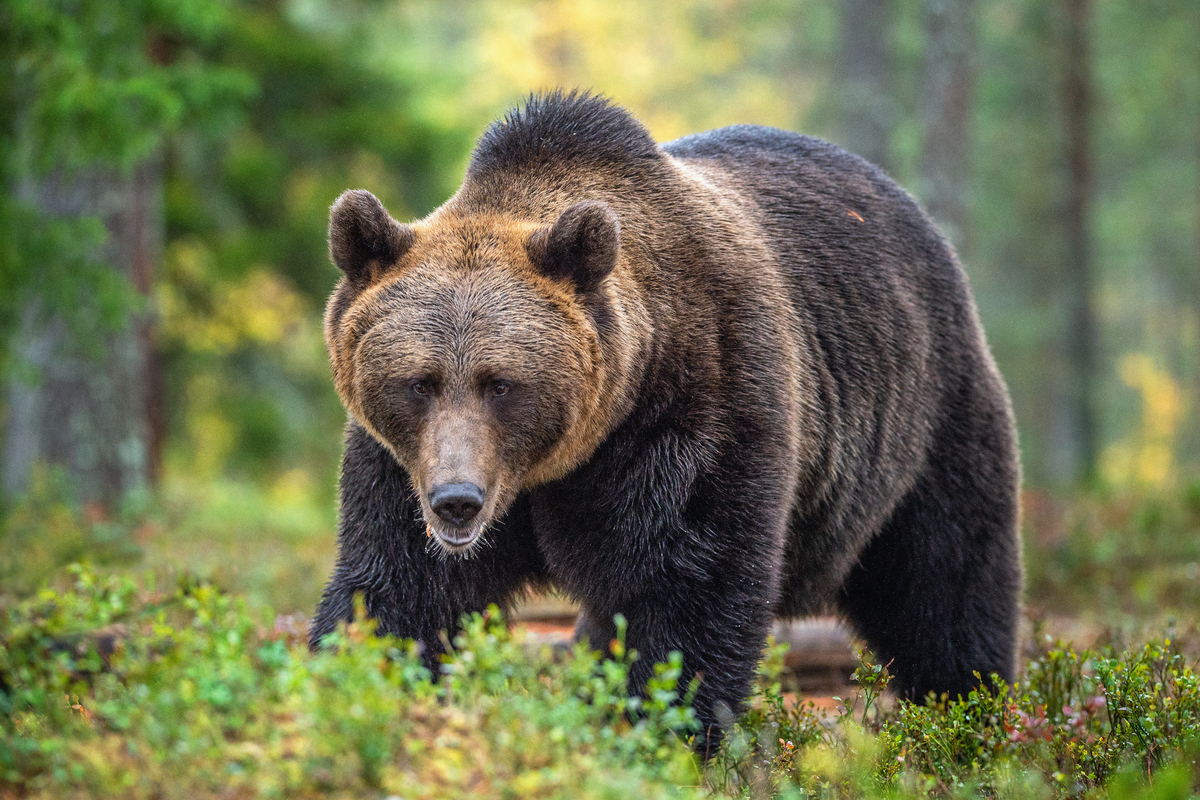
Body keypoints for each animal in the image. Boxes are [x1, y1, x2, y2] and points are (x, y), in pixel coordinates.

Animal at [309, 90, 1022, 753]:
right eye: (418, 383)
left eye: (501, 384)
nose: (457, 501)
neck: (557, 463)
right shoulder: (399, 465)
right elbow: (396, 588)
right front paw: (354, 688)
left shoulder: (696, 408)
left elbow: (687, 589)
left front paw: (663, 728)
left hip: (925, 420)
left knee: (945, 581)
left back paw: (967, 711)